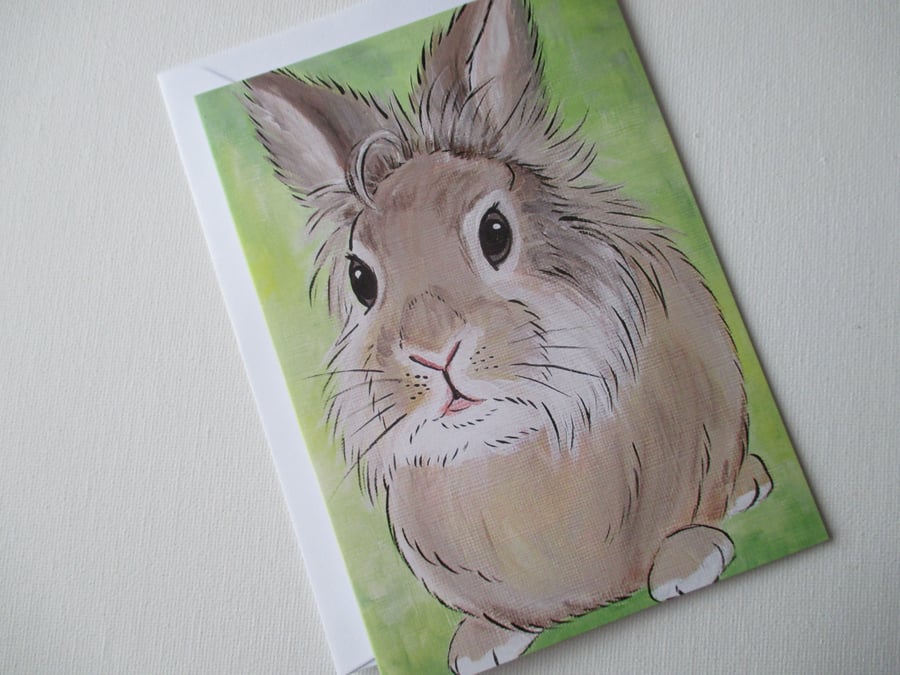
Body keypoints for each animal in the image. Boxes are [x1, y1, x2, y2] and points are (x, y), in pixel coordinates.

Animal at [243, 0, 773, 672]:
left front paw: (688, 564)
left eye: (495, 232)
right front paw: (481, 646)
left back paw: (751, 487)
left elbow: (684, 521)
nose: (433, 351)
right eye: (361, 279)